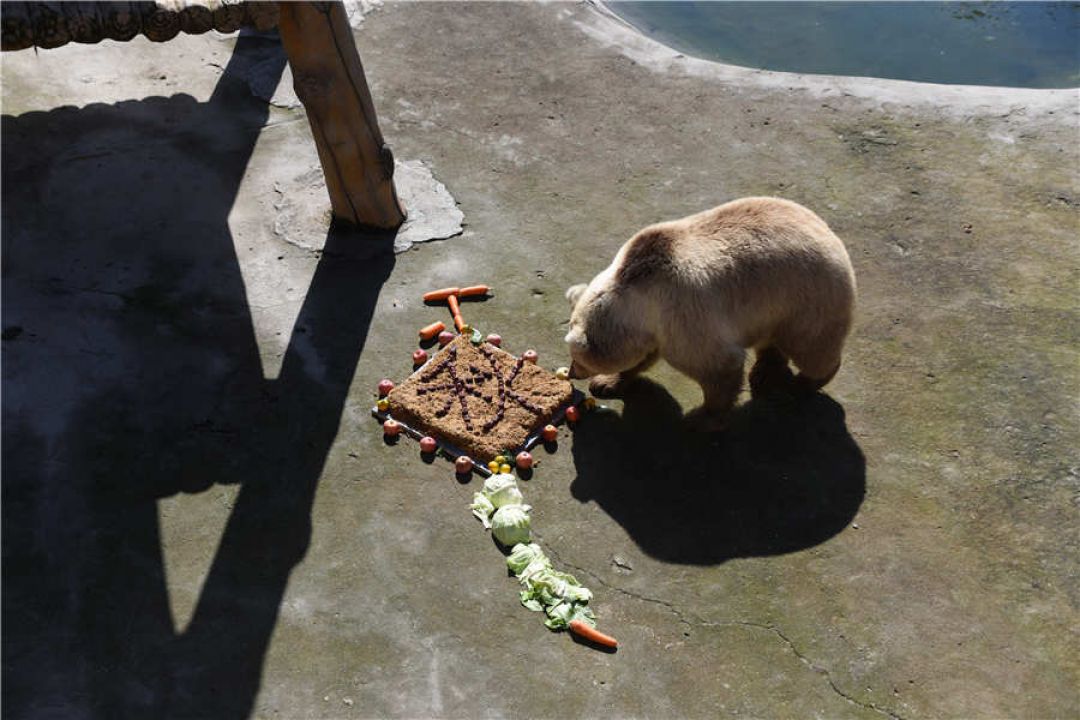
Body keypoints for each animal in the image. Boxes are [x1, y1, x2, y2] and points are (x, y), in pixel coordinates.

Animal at [570, 195, 855, 427]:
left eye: (578, 358)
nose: (573, 373)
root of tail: (829, 233)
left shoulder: (683, 314)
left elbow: (717, 367)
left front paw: (701, 418)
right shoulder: (658, 329)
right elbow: (643, 357)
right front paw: (607, 382)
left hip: (808, 298)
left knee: (811, 347)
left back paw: (803, 383)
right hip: (775, 307)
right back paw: (764, 371)